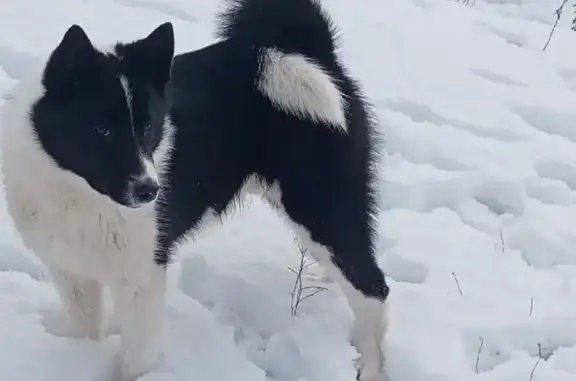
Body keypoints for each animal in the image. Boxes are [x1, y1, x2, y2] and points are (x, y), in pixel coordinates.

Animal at [1, 0, 392, 378]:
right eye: (101, 129)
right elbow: (84, 330)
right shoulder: (71, 272)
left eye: (149, 127)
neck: (77, 192)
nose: (149, 191)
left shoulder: (142, 279)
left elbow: (136, 360)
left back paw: (370, 367)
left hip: (320, 204)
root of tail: (301, 48)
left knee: (373, 288)